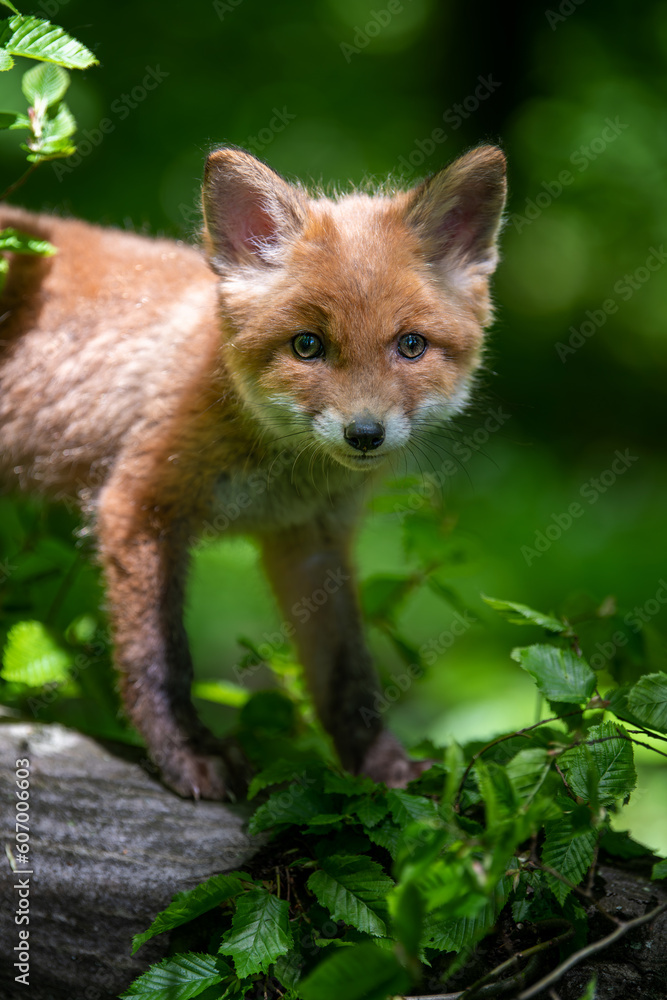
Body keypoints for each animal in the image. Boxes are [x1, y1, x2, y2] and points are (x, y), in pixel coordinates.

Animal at [0, 145, 507, 799]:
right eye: (308, 345)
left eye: (411, 346)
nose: (364, 434)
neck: (281, 477)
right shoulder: (138, 505)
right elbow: (159, 658)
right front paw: (186, 752)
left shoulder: (312, 541)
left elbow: (348, 675)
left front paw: (381, 768)